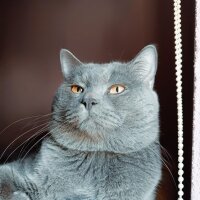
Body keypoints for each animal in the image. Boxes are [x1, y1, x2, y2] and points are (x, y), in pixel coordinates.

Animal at [0, 45, 162, 200]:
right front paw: (21, 196)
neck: (96, 156)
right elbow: (5, 183)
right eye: (76, 89)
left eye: (117, 89)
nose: (89, 100)